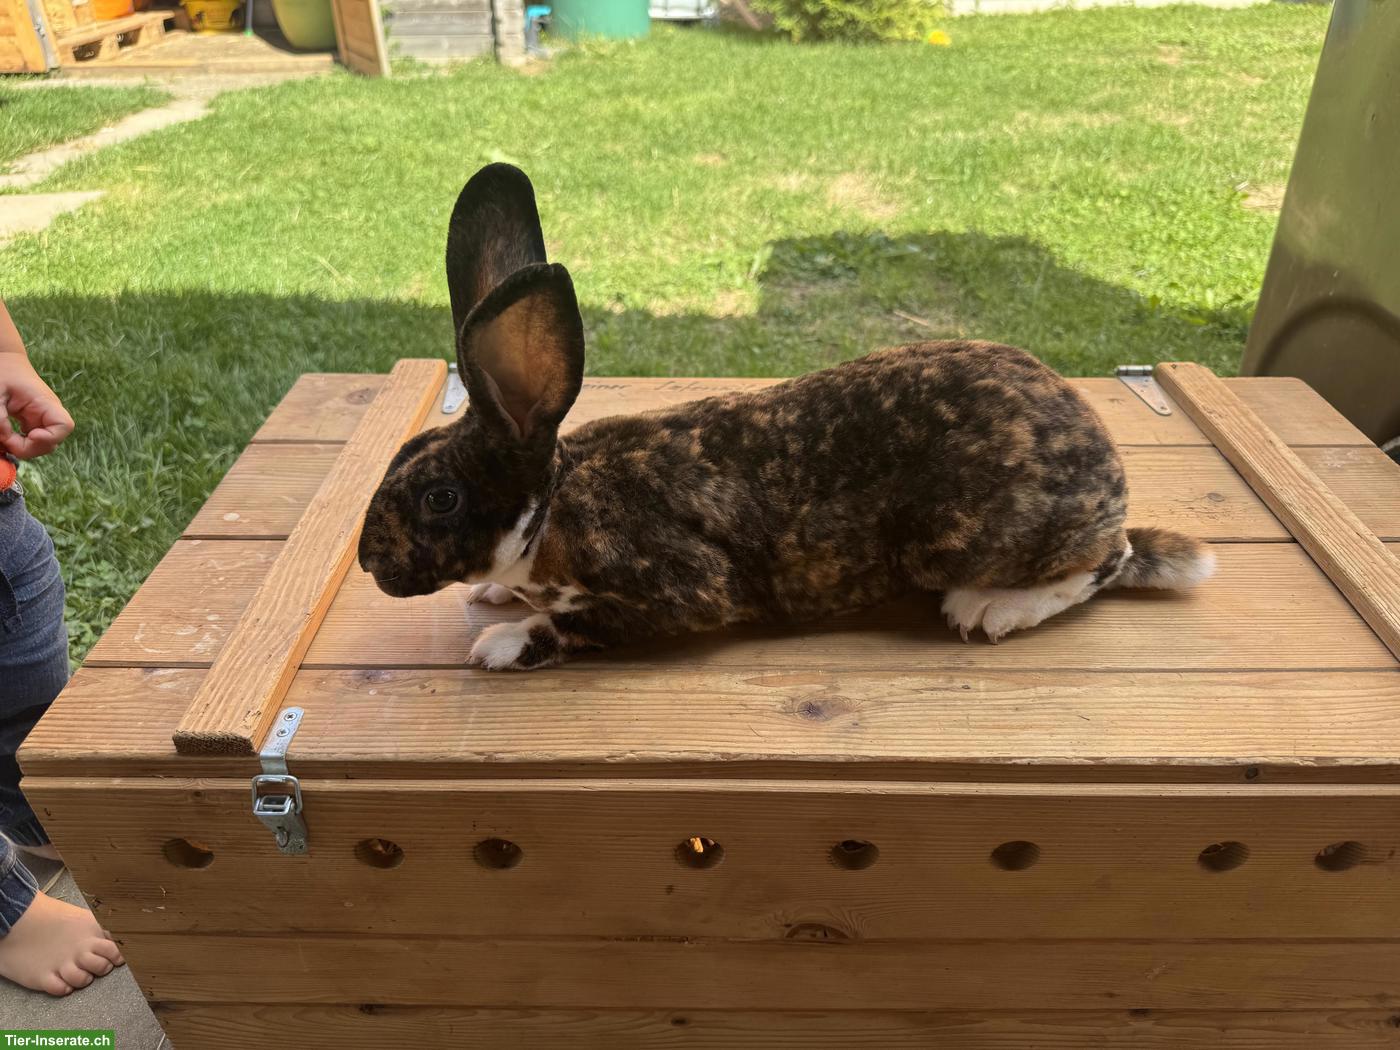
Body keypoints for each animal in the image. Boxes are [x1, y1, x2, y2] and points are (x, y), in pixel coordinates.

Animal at [357, 163, 1216, 671]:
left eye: (441, 498)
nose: (367, 561)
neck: (552, 507)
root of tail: (1108, 468)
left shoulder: (682, 594)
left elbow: (575, 626)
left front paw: (501, 641)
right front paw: (495, 599)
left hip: (961, 537)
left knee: (1103, 562)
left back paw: (990, 609)